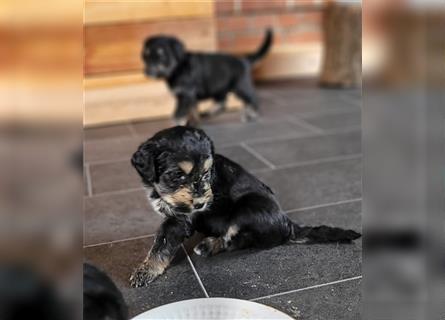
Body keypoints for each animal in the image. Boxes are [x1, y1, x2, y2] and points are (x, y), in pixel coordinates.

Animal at [126, 125, 360, 288]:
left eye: (206, 173)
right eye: (176, 175)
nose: (201, 204)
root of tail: (288, 224)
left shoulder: (180, 220)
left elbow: (162, 244)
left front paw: (145, 271)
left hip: (247, 209)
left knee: (236, 239)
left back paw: (208, 245)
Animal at [140, 29, 272, 125]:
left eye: (161, 56)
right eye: (146, 56)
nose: (147, 72)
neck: (178, 68)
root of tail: (244, 60)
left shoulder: (185, 95)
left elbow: (178, 114)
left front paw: (176, 125)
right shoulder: (187, 96)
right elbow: (191, 110)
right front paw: (193, 123)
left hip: (241, 86)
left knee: (253, 98)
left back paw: (251, 115)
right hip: (219, 89)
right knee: (222, 103)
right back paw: (207, 113)